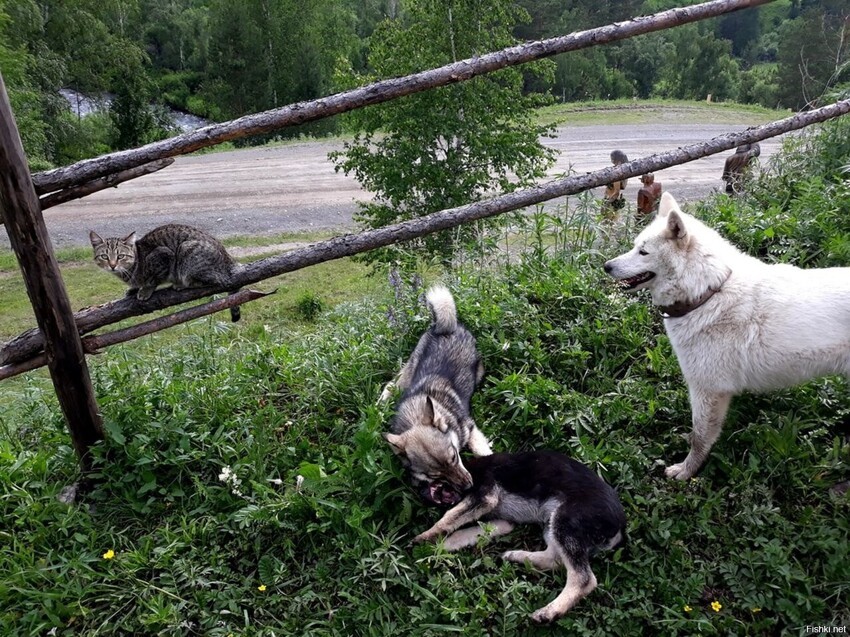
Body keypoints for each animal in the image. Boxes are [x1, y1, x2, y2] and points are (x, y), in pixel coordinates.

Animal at [90, 225, 242, 322]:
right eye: (104, 257)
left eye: (120, 256)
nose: (112, 265)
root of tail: (229, 259)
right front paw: (133, 289)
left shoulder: (163, 256)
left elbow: (153, 280)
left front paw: (144, 290)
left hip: (186, 252)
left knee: (213, 281)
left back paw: (181, 285)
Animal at [604, 191, 848, 480]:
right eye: (634, 246)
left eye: (643, 251)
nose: (606, 266)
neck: (707, 293)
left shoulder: (708, 391)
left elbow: (700, 439)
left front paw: (686, 472)